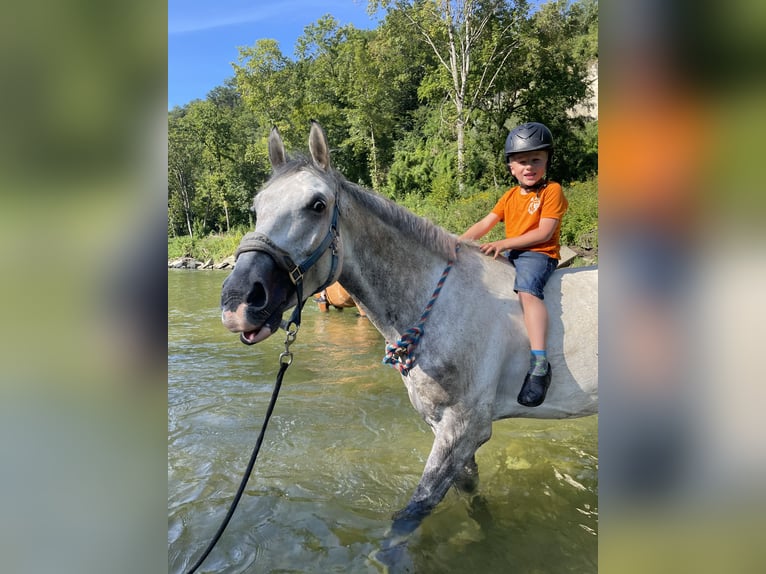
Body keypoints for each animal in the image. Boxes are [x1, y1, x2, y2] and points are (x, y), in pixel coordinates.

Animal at [219, 122, 596, 548]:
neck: (442, 302)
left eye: (317, 205)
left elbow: (412, 513)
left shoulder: (464, 429)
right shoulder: (445, 428)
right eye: (257, 207)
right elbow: (470, 492)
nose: (238, 301)